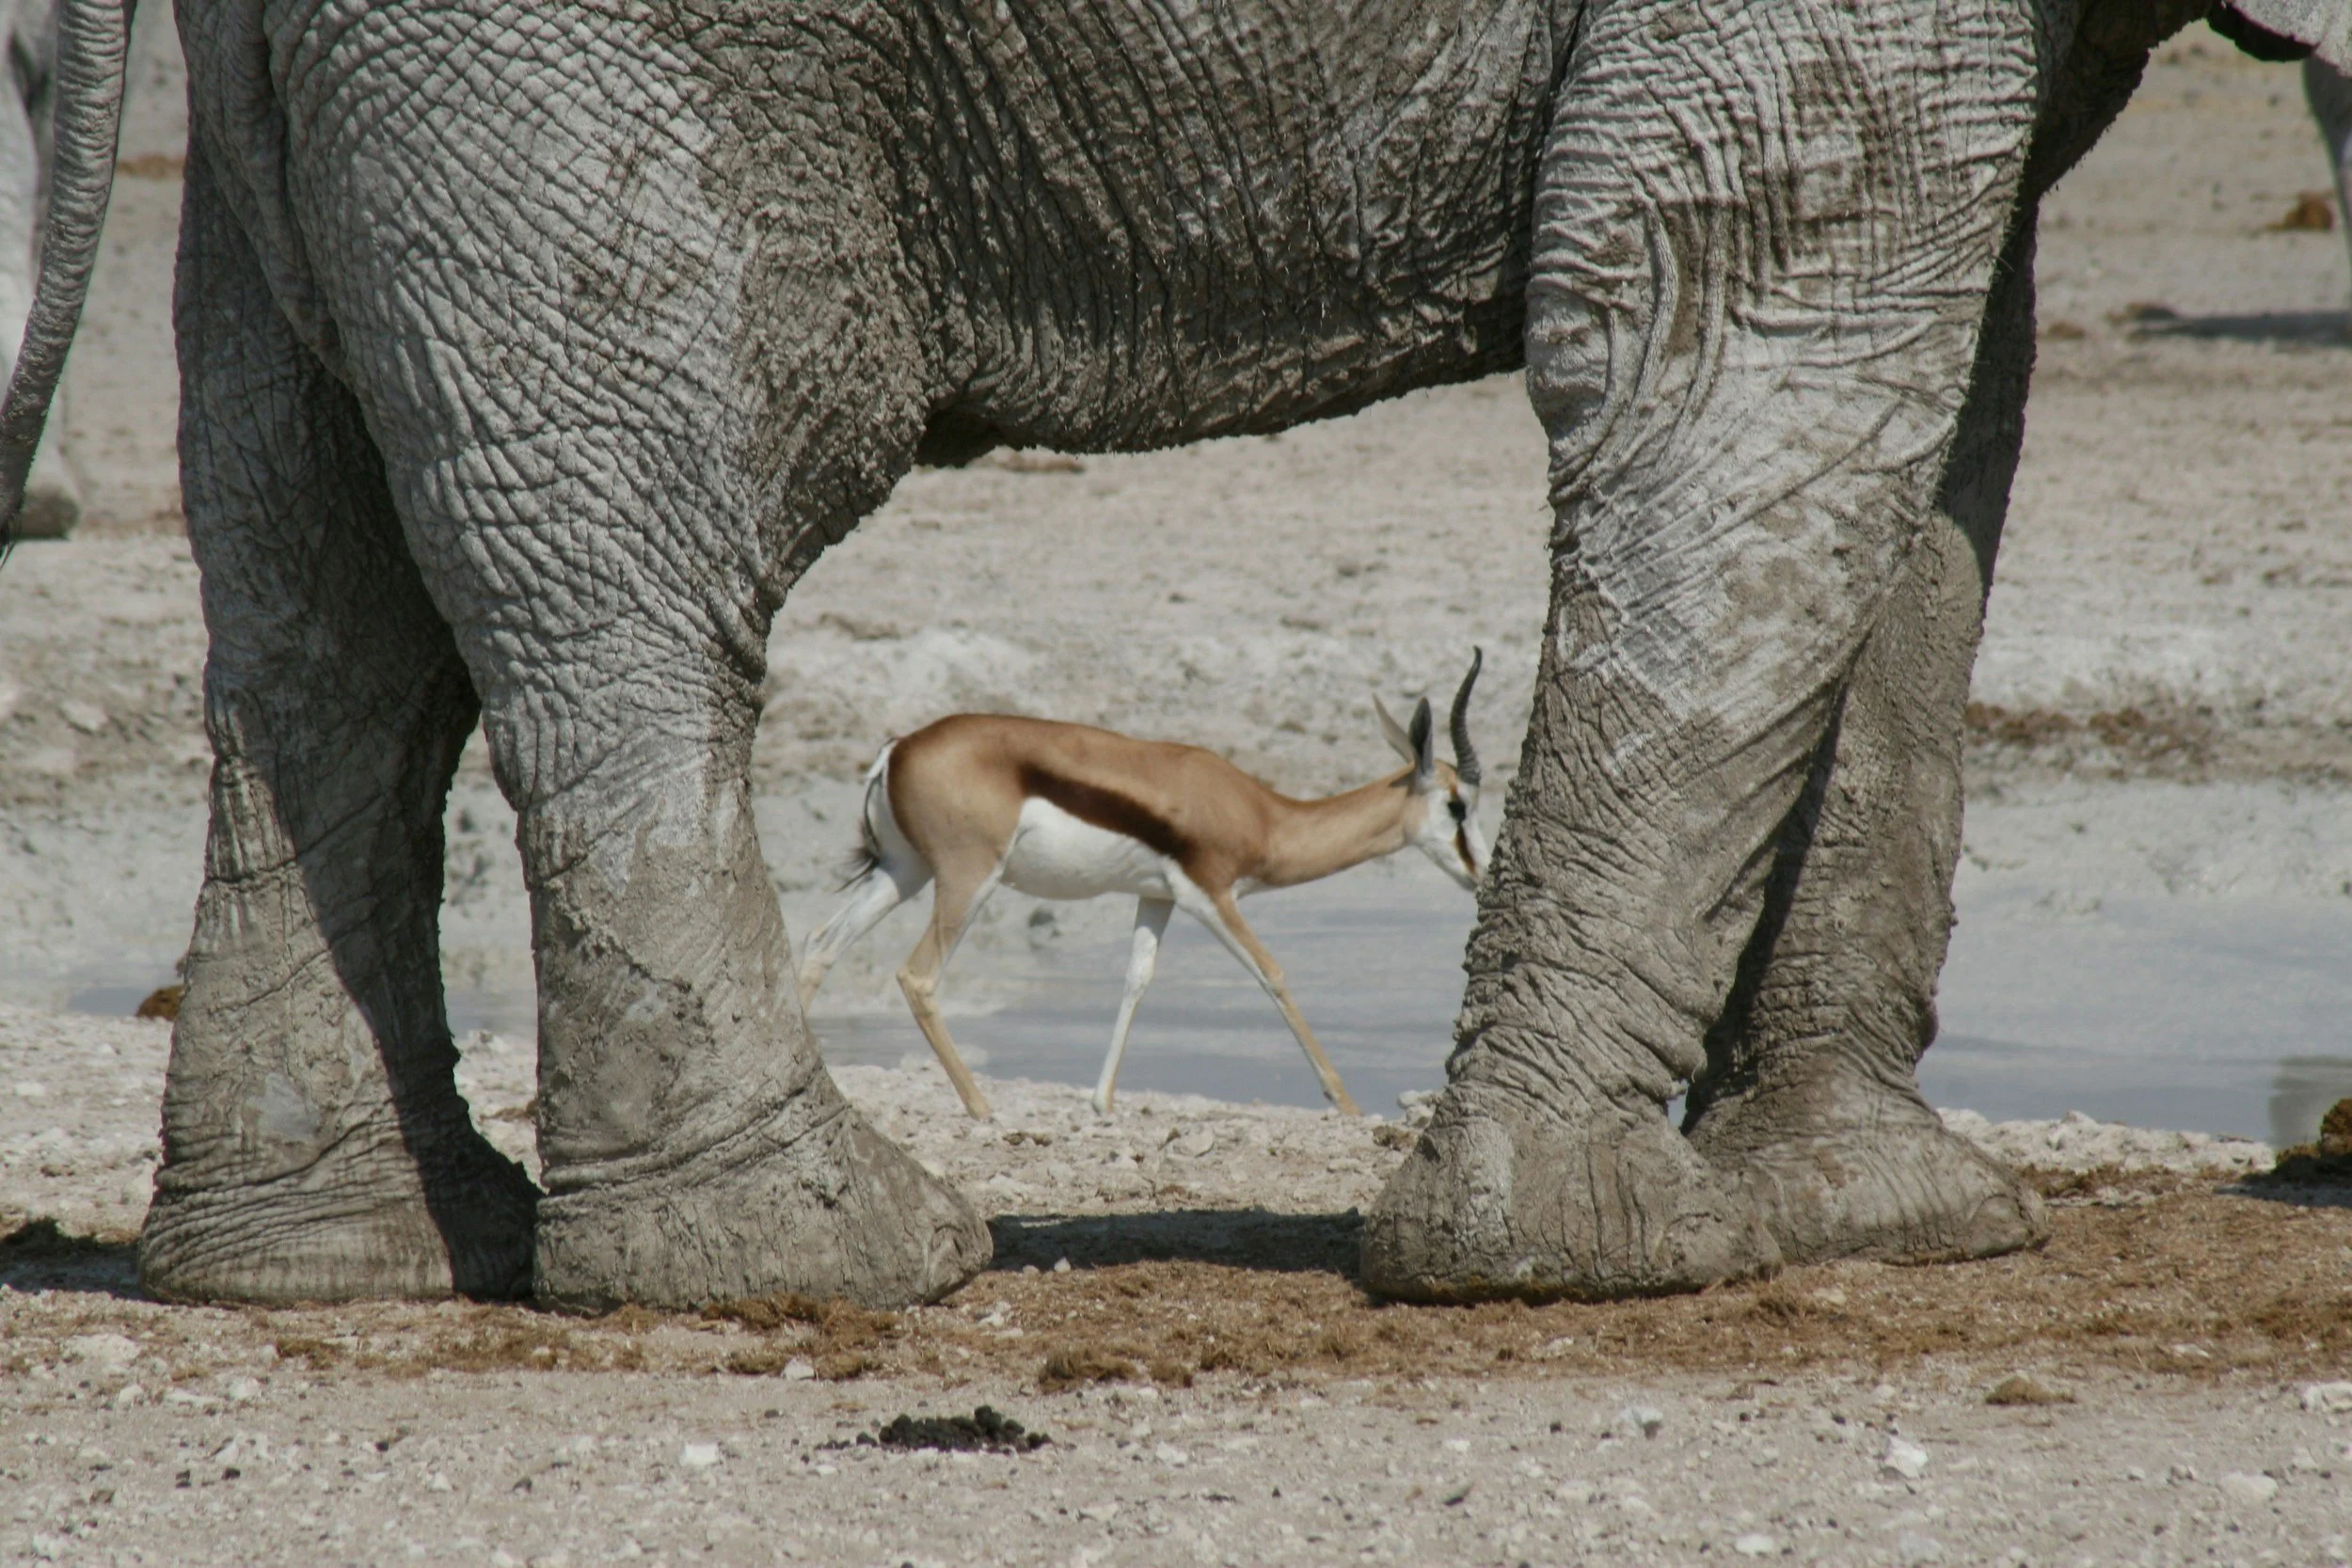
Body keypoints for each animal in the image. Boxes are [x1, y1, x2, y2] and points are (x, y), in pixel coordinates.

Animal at [796, 652, 1490, 1119]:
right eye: (1458, 804)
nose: (1478, 872)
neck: (1264, 815)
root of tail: (898, 749)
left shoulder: (1156, 897)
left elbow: (1136, 979)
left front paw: (1102, 1101)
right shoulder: (1211, 895)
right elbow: (1273, 972)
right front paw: (1345, 1102)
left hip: (904, 873)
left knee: (818, 948)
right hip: (968, 880)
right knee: (917, 976)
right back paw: (981, 1106)